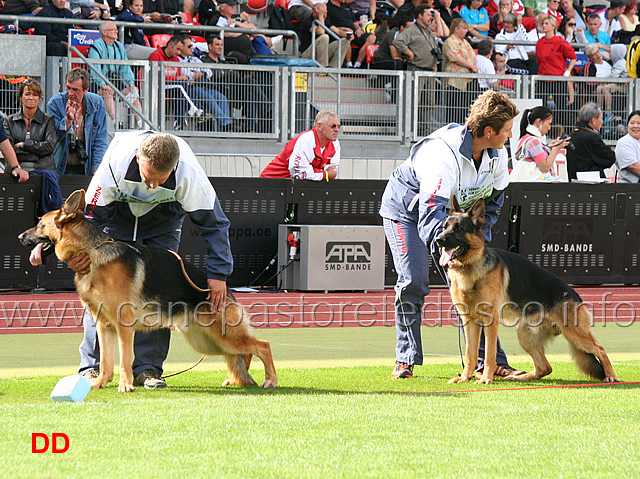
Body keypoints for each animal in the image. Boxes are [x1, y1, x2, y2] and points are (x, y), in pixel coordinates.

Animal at [19, 190, 276, 394]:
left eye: (40, 223)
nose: (20, 236)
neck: (92, 251)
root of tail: (224, 289)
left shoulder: (124, 327)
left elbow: (124, 360)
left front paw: (125, 385)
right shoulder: (104, 326)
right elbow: (105, 362)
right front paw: (100, 383)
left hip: (223, 336)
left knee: (262, 345)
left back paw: (269, 380)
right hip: (208, 341)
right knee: (244, 353)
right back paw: (238, 380)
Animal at [432, 196, 616, 386]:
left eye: (459, 228)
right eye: (444, 227)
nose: (438, 240)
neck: (470, 266)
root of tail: (574, 295)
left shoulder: (490, 322)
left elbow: (489, 353)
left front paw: (486, 379)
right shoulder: (469, 321)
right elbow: (470, 354)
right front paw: (464, 377)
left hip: (575, 334)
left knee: (600, 349)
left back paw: (611, 376)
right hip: (526, 336)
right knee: (545, 367)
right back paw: (519, 377)